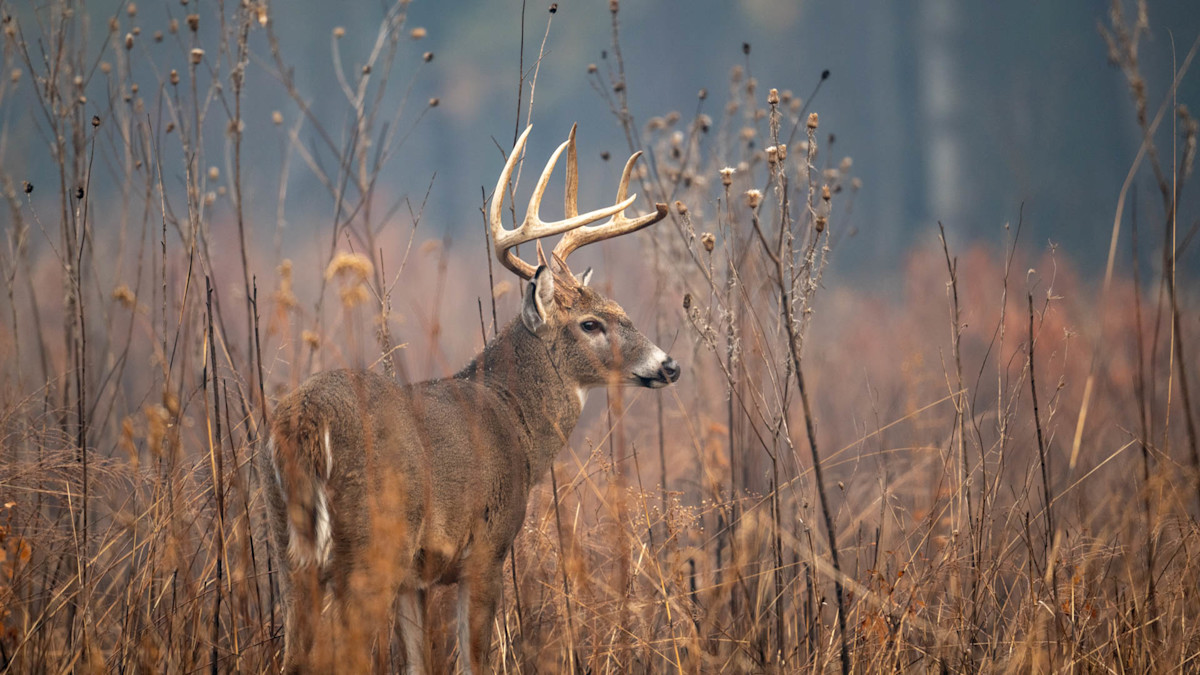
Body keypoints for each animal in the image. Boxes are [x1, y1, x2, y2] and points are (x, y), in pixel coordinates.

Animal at [262, 124, 679, 674]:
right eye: (591, 324)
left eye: (621, 308)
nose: (668, 365)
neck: (515, 422)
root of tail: (307, 421)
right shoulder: (487, 547)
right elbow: (472, 660)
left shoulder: (415, 580)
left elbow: (420, 664)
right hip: (370, 545)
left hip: (289, 551)